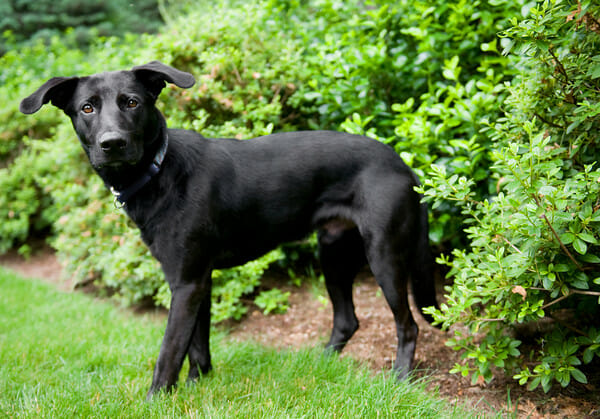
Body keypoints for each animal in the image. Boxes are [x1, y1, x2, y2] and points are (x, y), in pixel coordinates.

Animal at [21, 60, 438, 398]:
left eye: (132, 103)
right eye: (87, 108)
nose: (113, 144)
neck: (160, 169)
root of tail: (404, 165)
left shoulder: (187, 283)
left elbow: (170, 351)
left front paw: (156, 400)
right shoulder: (196, 280)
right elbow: (197, 346)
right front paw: (196, 386)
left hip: (384, 254)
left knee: (408, 325)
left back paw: (400, 378)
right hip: (332, 251)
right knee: (348, 320)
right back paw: (320, 363)